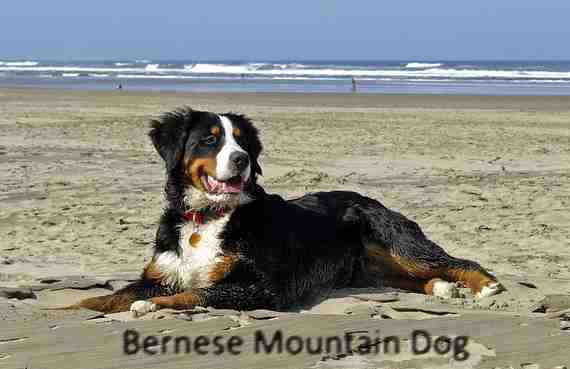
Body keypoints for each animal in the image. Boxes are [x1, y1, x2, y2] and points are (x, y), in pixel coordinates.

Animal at [70, 107, 502, 316]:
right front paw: (69, 309)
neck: (206, 218)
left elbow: (196, 293)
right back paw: (443, 289)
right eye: (210, 140)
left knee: (454, 261)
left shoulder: (260, 286)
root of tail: (369, 198)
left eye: (242, 142)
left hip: (400, 244)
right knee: (414, 278)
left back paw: (485, 286)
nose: (242, 160)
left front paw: (150, 306)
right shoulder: (160, 274)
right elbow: (108, 297)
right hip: (373, 270)